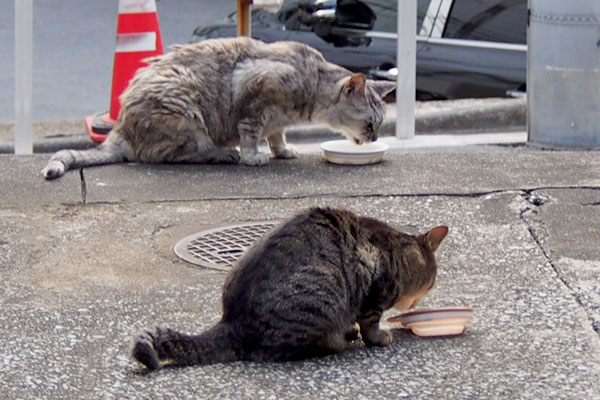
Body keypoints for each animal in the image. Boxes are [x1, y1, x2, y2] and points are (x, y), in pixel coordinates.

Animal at [41, 38, 394, 180]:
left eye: (379, 126)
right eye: (369, 125)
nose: (376, 139)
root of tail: (120, 128)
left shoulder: (276, 119)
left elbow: (276, 135)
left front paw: (282, 150)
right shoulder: (255, 91)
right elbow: (251, 132)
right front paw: (254, 156)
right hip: (184, 104)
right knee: (177, 154)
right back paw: (223, 153)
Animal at [132, 208, 450, 370]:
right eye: (433, 281)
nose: (417, 302)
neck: (397, 251)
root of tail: (231, 322)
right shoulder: (374, 294)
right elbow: (370, 324)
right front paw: (378, 336)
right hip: (323, 285)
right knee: (272, 352)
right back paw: (335, 341)